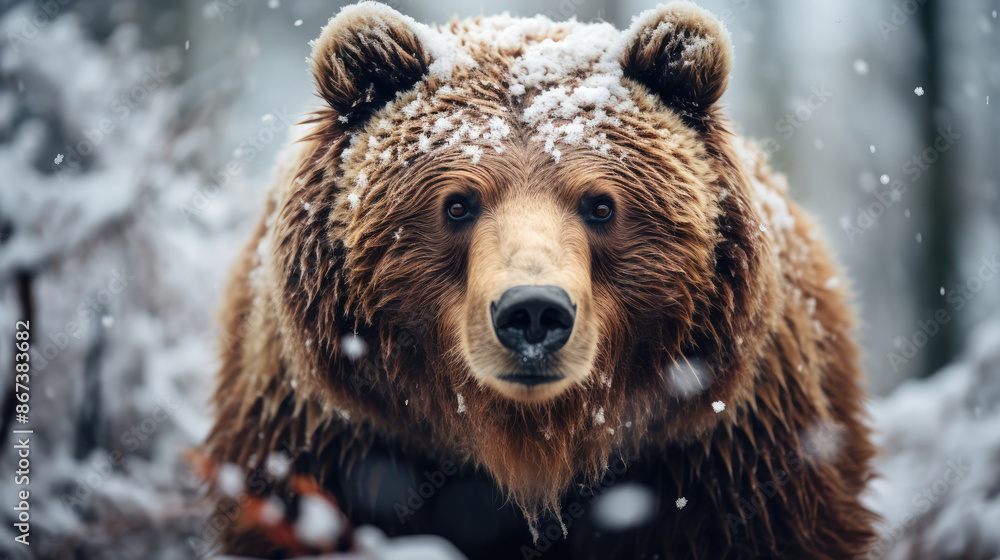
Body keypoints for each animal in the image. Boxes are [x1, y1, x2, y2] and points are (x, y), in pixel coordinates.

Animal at [203, 2, 879, 559]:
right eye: (458, 204)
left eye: (601, 205)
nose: (532, 312)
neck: (534, 450)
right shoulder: (336, 446)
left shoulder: (726, 459)